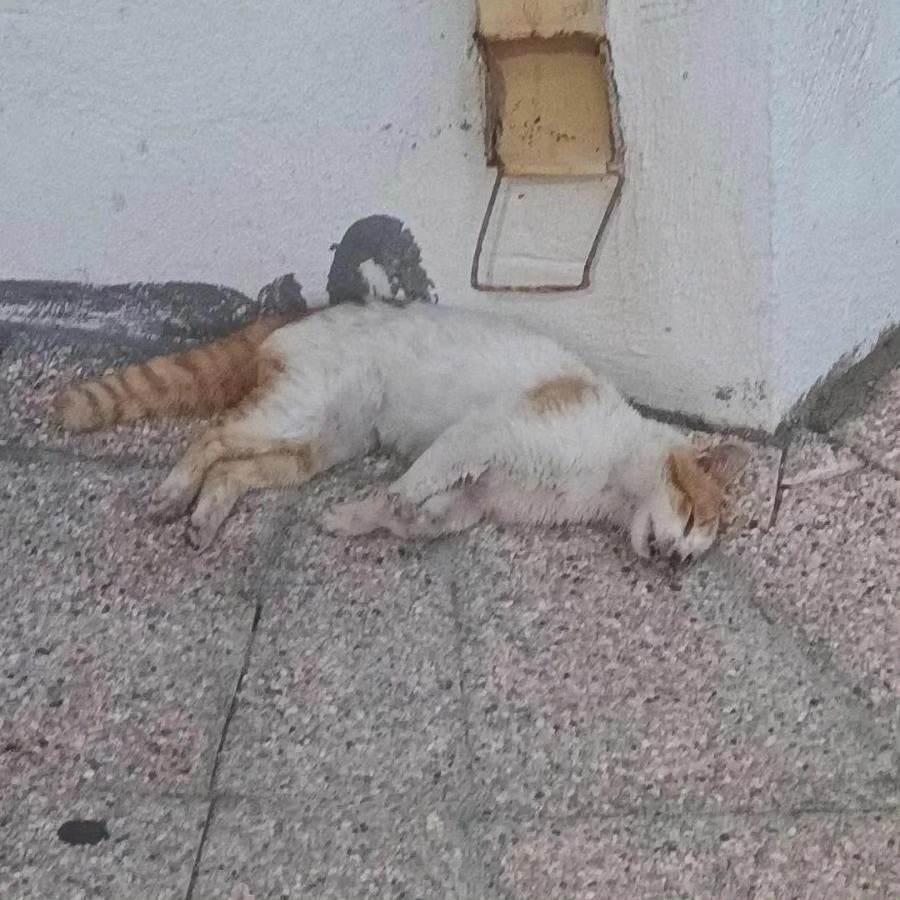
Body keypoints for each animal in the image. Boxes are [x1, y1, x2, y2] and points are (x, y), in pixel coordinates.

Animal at [54, 302, 749, 561]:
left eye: (698, 551)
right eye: (692, 516)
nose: (678, 561)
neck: (607, 479)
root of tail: (296, 313)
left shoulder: (477, 500)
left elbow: (430, 515)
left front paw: (364, 519)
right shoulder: (482, 434)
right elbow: (423, 476)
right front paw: (394, 502)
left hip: (313, 448)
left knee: (234, 469)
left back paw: (206, 515)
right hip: (297, 412)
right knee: (213, 439)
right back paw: (175, 493)